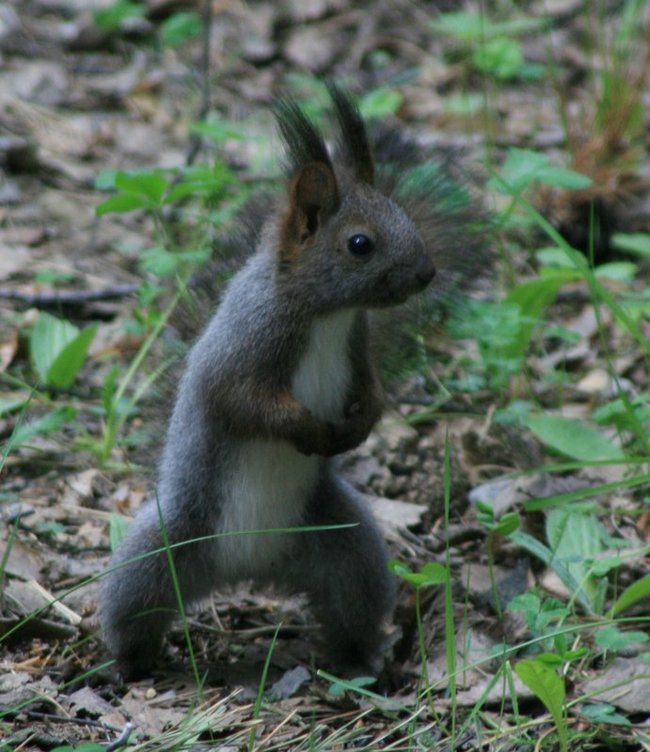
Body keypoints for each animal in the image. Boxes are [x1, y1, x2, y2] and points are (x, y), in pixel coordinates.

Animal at [98, 85, 486, 680]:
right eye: (359, 244)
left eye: (403, 216)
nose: (425, 274)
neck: (327, 314)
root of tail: (249, 565)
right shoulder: (244, 345)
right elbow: (241, 402)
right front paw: (307, 429)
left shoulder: (357, 346)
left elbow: (373, 391)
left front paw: (361, 424)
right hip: (164, 548)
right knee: (134, 605)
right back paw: (129, 664)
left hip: (346, 549)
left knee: (352, 600)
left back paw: (358, 659)